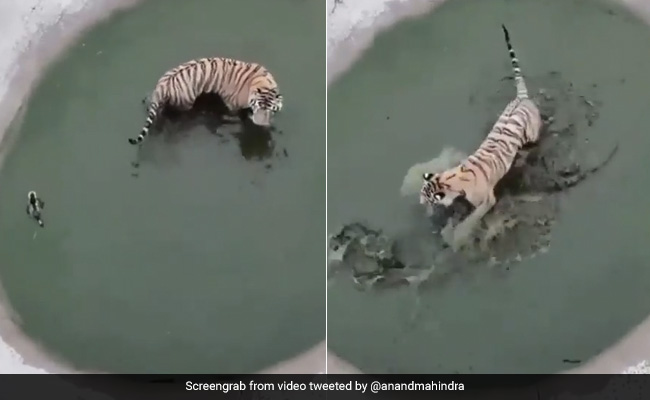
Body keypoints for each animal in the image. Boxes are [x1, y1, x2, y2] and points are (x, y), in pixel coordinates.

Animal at [128, 57, 283, 145]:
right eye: (258, 106)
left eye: (269, 109)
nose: (260, 124)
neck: (263, 83)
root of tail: (163, 85)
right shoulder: (232, 104)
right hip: (186, 102)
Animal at [419, 24, 542, 251]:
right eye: (422, 194)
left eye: (427, 198)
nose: (421, 204)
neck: (449, 182)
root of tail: (521, 98)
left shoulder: (486, 200)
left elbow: (473, 216)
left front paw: (462, 230)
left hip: (532, 132)